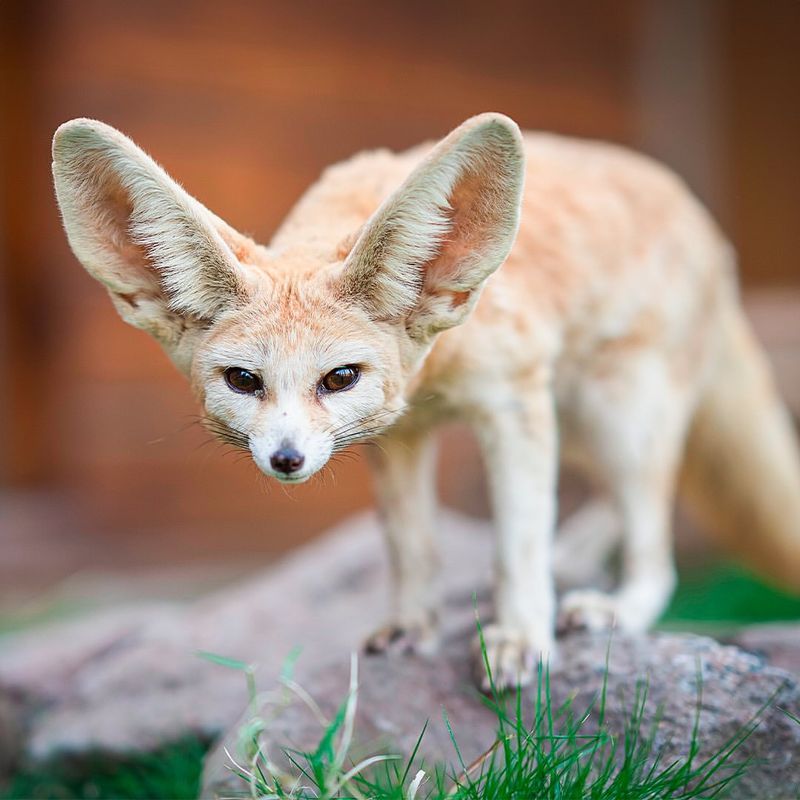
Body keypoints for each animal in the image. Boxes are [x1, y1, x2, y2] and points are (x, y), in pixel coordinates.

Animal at [53, 112, 800, 688]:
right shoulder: (396, 434)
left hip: (617, 416)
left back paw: (614, 607)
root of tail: (702, 217)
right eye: (243, 381)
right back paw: (574, 561)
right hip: (584, 426)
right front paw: (414, 627)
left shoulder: (513, 404)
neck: (436, 375)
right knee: (627, 505)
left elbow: (516, 540)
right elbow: (414, 545)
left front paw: (520, 637)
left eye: (338, 378)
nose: (287, 460)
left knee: (658, 540)